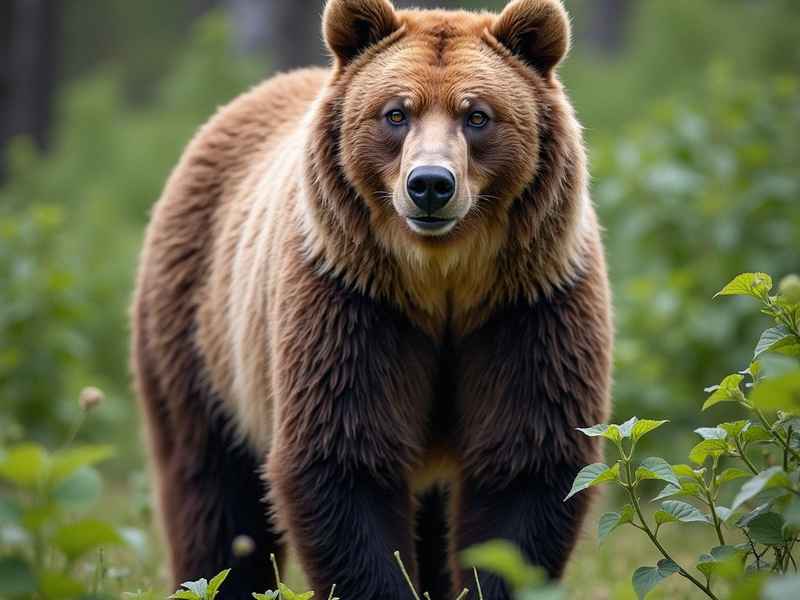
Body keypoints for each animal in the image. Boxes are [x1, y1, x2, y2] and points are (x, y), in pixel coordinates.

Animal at [130, 0, 612, 598]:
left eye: (477, 115)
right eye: (396, 113)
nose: (430, 184)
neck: (443, 283)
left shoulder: (528, 307)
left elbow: (525, 467)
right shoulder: (353, 302)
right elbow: (345, 460)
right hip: (202, 335)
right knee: (214, 494)